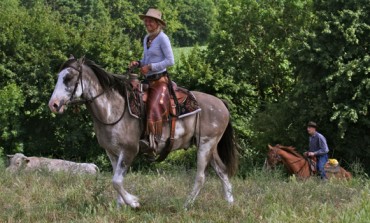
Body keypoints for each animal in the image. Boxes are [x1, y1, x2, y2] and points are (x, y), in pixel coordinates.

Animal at [48, 56, 237, 208]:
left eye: (68, 78)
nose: (53, 105)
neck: (113, 109)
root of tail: (221, 103)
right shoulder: (112, 152)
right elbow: (116, 178)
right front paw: (120, 206)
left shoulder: (129, 150)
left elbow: (116, 181)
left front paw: (133, 203)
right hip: (209, 147)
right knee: (222, 171)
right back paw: (229, 203)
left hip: (206, 145)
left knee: (201, 176)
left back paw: (186, 205)